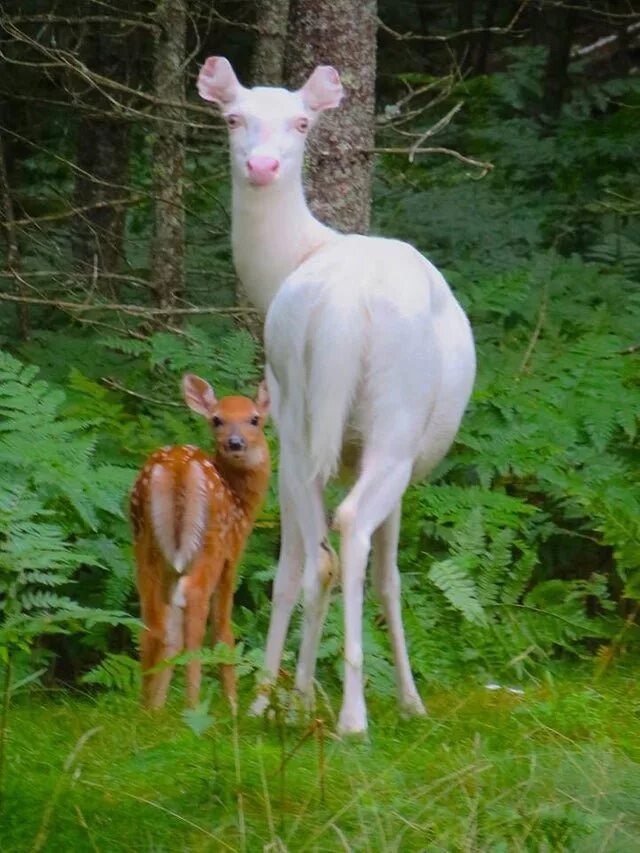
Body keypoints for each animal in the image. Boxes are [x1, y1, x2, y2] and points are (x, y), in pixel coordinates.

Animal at [199, 56, 476, 732]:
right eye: (233, 117)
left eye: (301, 123)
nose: (262, 166)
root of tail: (347, 306)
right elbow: (390, 576)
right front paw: (411, 699)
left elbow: (317, 568)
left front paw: (279, 699)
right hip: (392, 420)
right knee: (343, 534)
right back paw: (350, 714)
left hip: (303, 419)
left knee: (312, 557)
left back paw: (295, 701)